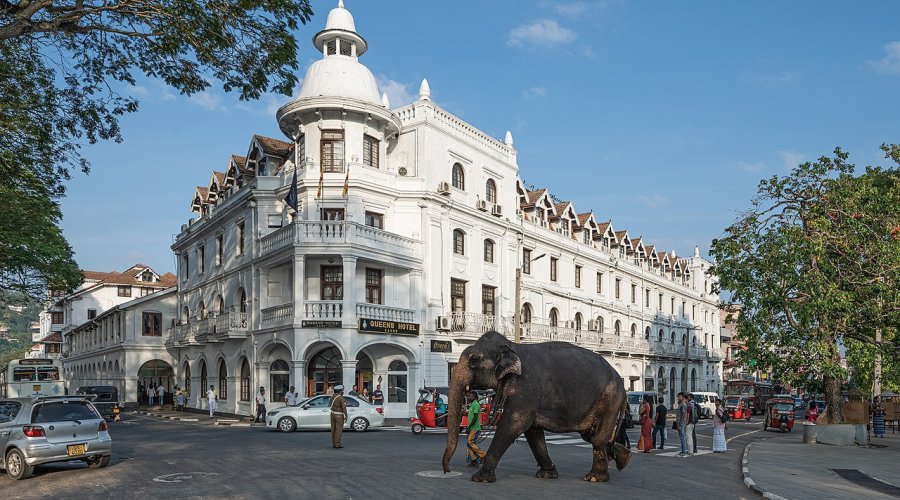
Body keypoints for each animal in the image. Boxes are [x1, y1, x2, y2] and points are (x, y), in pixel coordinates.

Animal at [442, 330, 624, 482]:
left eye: (474, 360)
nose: (447, 471)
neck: (513, 346)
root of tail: (620, 379)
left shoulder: (526, 388)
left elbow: (514, 424)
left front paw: (480, 478)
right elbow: (533, 431)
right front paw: (547, 474)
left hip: (610, 399)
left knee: (597, 438)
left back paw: (594, 477)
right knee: (592, 437)